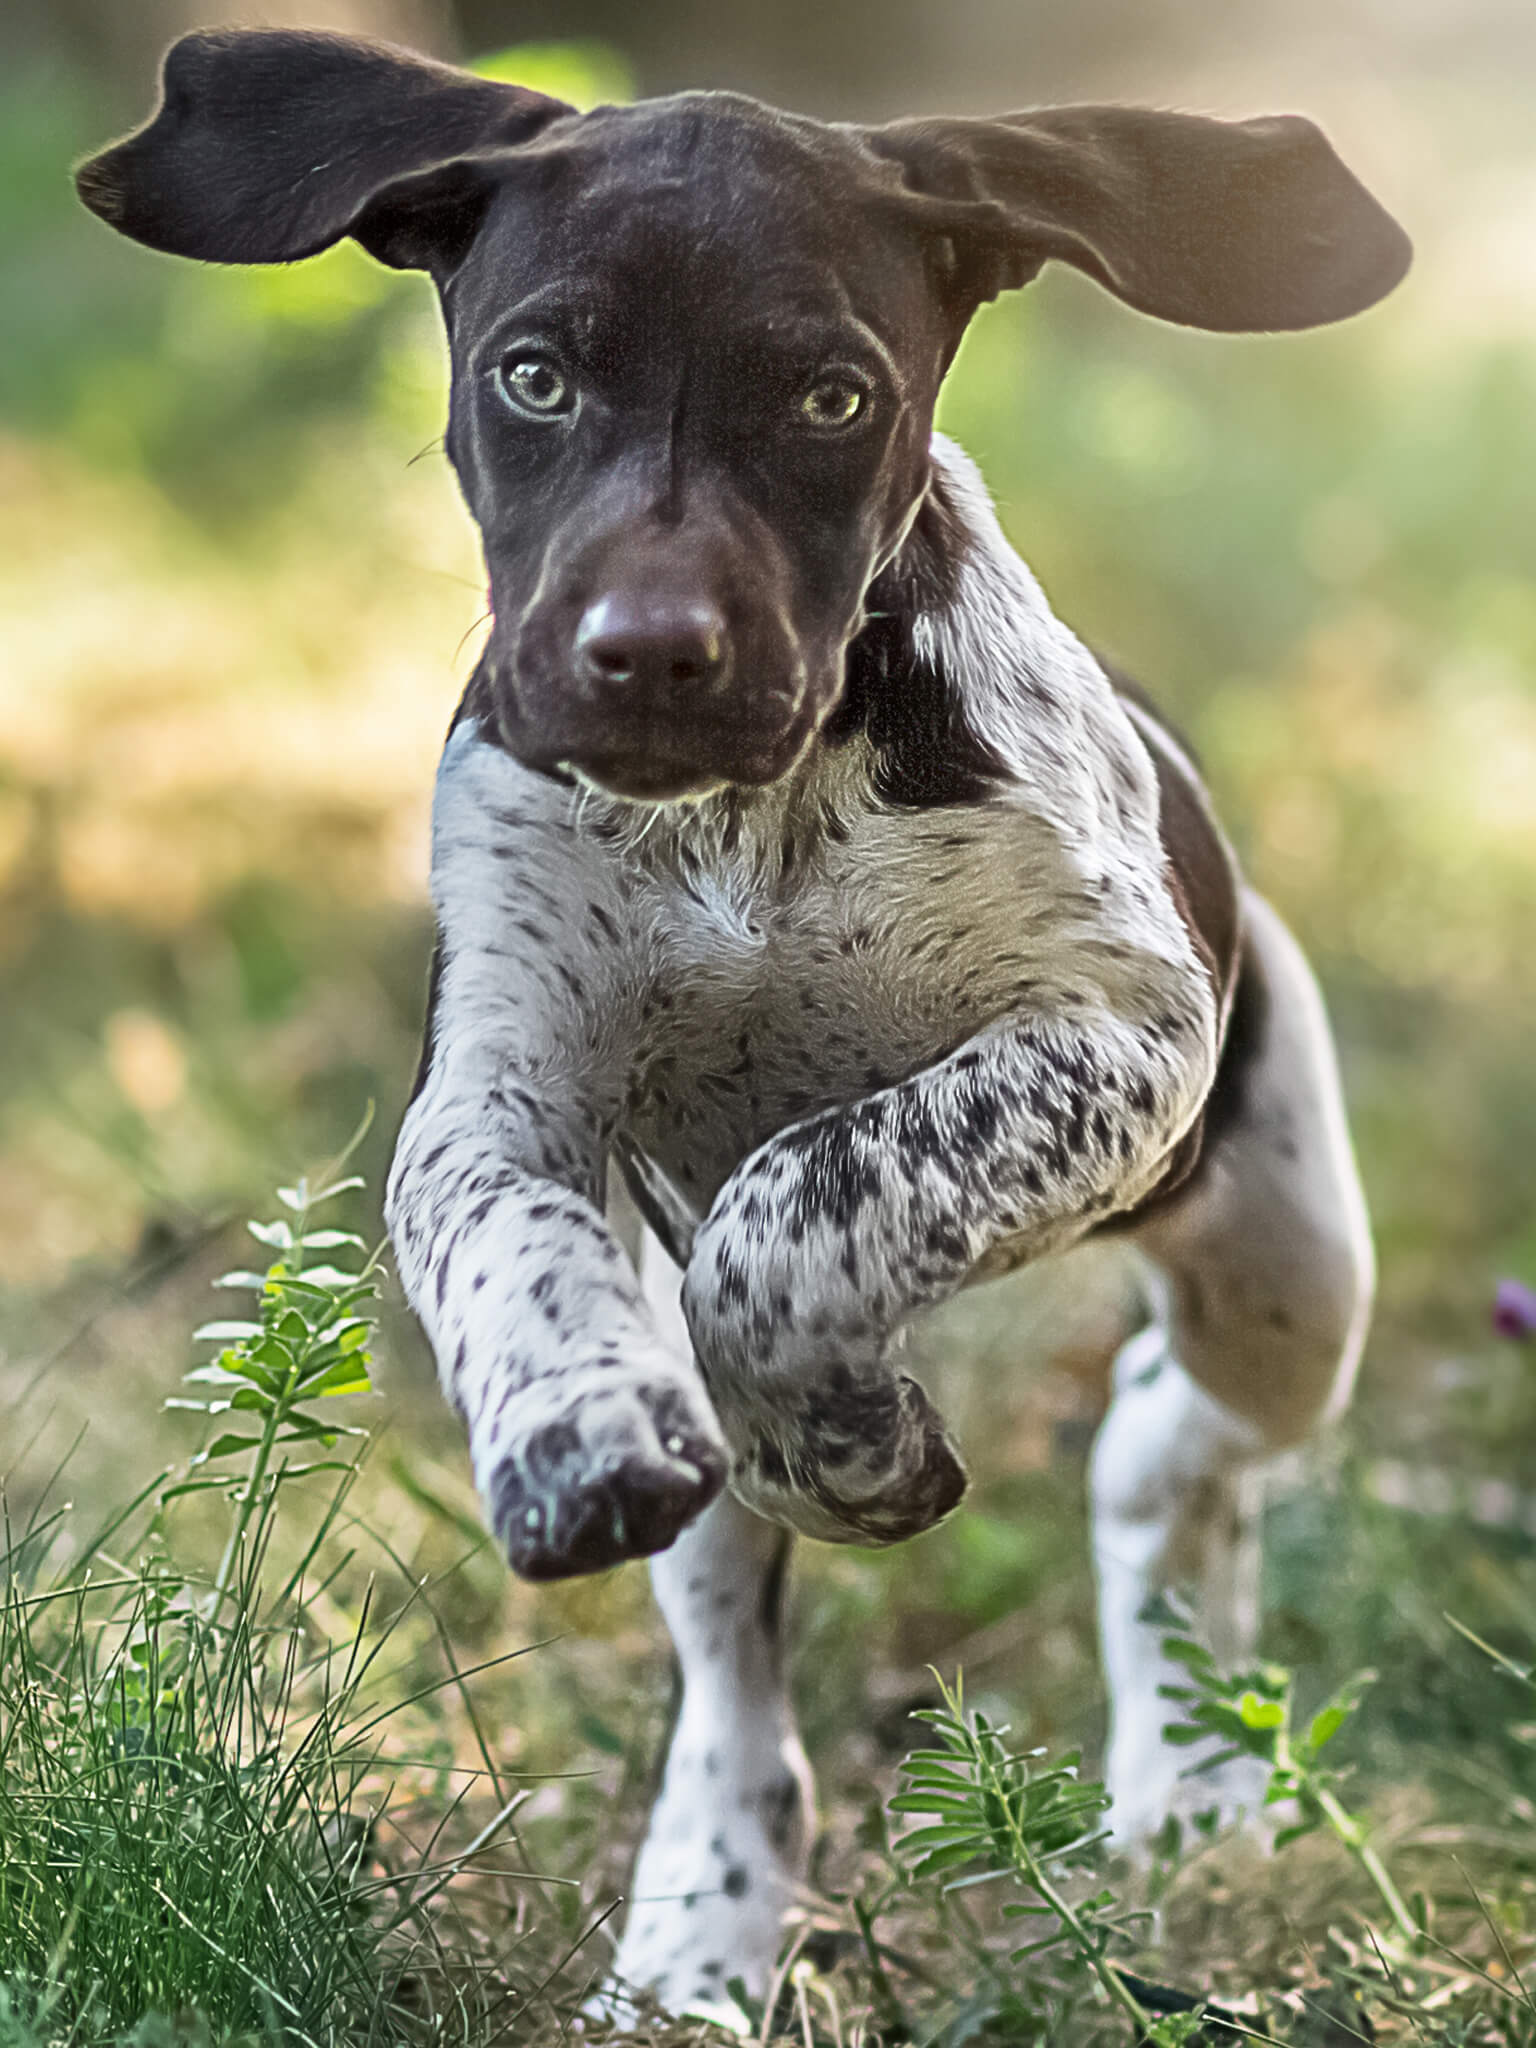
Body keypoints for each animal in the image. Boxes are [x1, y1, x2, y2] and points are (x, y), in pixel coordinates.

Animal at [81, 28, 1409, 2015]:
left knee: (1164, 1450)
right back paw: (694, 1931)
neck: (744, 822)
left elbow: (806, 1200)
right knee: (735, 1678)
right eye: (534, 374)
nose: (647, 653)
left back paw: (1193, 1779)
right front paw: (579, 1436)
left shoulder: (1117, 1033)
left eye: (831, 398)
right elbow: (525, 1254)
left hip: (1284, 1258)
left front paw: (851, 1442)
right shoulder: (494, 1095)